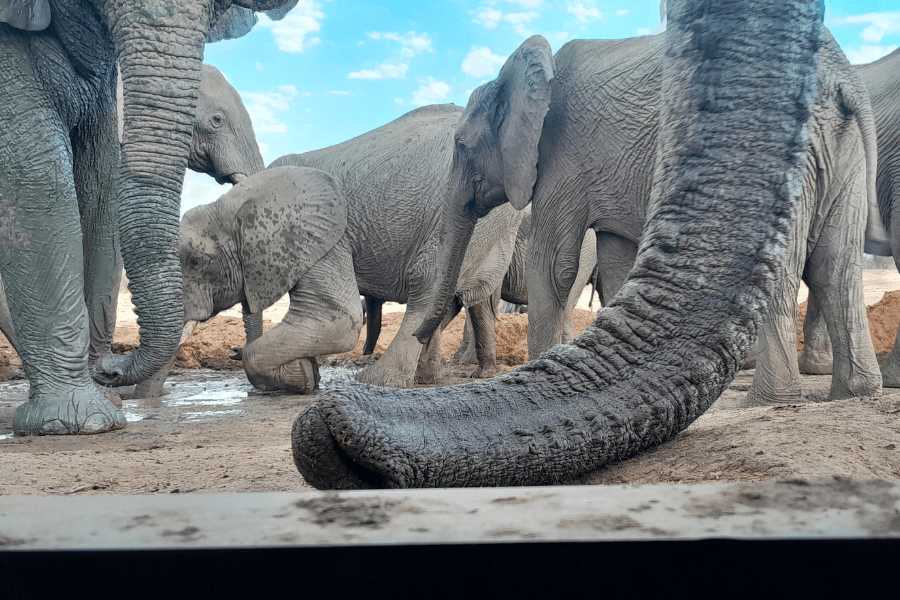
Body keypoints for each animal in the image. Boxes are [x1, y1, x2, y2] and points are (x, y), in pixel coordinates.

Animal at [0, 0, 298, 436]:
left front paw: (105, 397)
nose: (111, 369)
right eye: (216, 121)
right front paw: (80, 420)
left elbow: (100, 187)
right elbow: (35, 178)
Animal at [179, 166, 363, 392]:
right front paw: (307, 371)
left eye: (195, 261)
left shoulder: (322, 240)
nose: (234, 350)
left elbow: (336, 321)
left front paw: (301, 374)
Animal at [418, 23, 886, 407]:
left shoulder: (561, 156)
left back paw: (768, 401)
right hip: (842, 149)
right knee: (836, 265)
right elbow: (617, 265)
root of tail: (844, 78)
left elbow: (552, 266)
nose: (421, 333)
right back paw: (855, 393)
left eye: (461, 146)